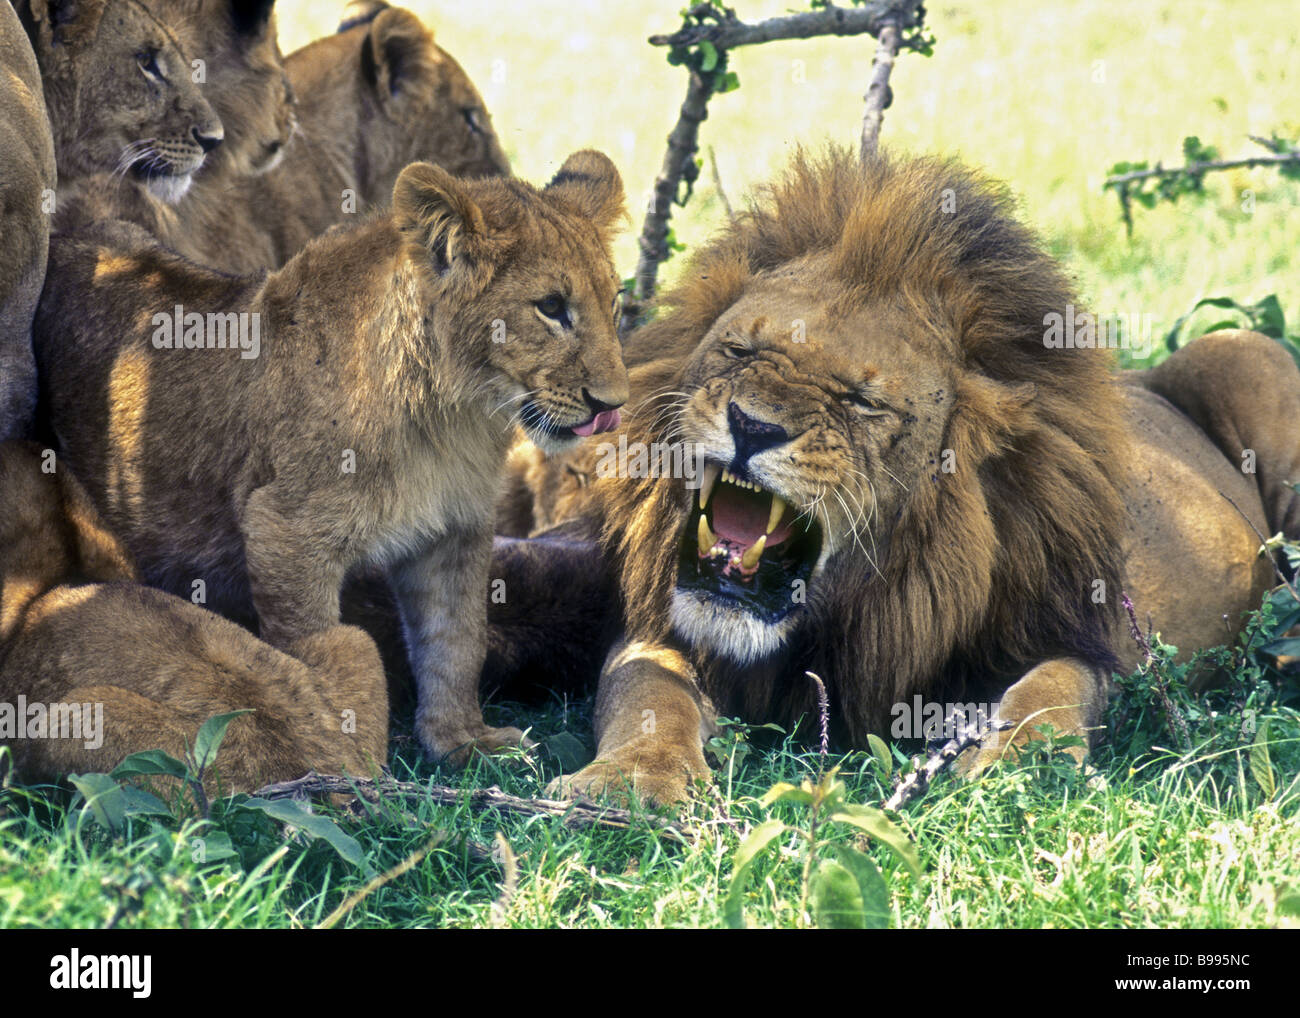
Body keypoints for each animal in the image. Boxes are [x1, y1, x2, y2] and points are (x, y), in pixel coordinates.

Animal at [36, 153, 629, 764]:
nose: (613, 406)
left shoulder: (453, 530)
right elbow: (310, 647)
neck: (451, 416)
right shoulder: (285, 531)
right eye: (551, 308)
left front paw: (462, 740)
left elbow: (457, 642)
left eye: (615, 303)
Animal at [488, 149, 1300, 806]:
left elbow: (1050, 693)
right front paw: (630, 781)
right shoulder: (663, 628)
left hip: (1248, 352)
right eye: (739, 351)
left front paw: (1008, 766)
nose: (753, 427)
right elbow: (647, 689)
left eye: (862, 401)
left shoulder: (1065, 631)